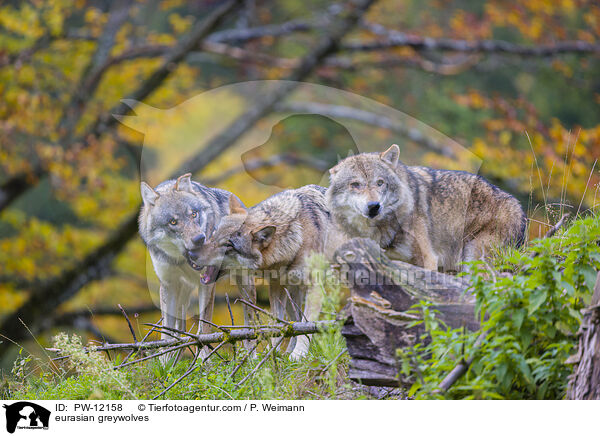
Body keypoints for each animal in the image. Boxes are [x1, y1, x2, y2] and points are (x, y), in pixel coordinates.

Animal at [189, 184, 332, 358]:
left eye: (228, 245)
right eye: (214, 235)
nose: (191, 254)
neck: (298, 234)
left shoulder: (315, 287)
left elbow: (307, 325)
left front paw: (298, 355)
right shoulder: (276, 287)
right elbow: (278, 325)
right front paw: (273, 353)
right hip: (292, 295)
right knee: (295, 322)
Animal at [326, 145, 528, 270]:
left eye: (380, 182)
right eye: (355, 185)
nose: (374, 206)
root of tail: (519, 208)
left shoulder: (428, 258)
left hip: (474, 257)